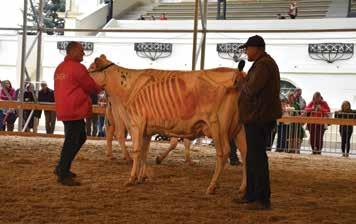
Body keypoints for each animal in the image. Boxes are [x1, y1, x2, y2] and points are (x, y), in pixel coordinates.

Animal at [89, 54, 246, 194]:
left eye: (91, 68)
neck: (128, 87)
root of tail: (238, 74)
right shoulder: (146, 129)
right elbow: (144, 152)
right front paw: (142, 176)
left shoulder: (136, 123)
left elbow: (137, 151)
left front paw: (132, 178)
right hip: (239, 128)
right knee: (245, 153)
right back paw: (242, 188)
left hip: (218, 126)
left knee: (223, 152)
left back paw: (212, 186)